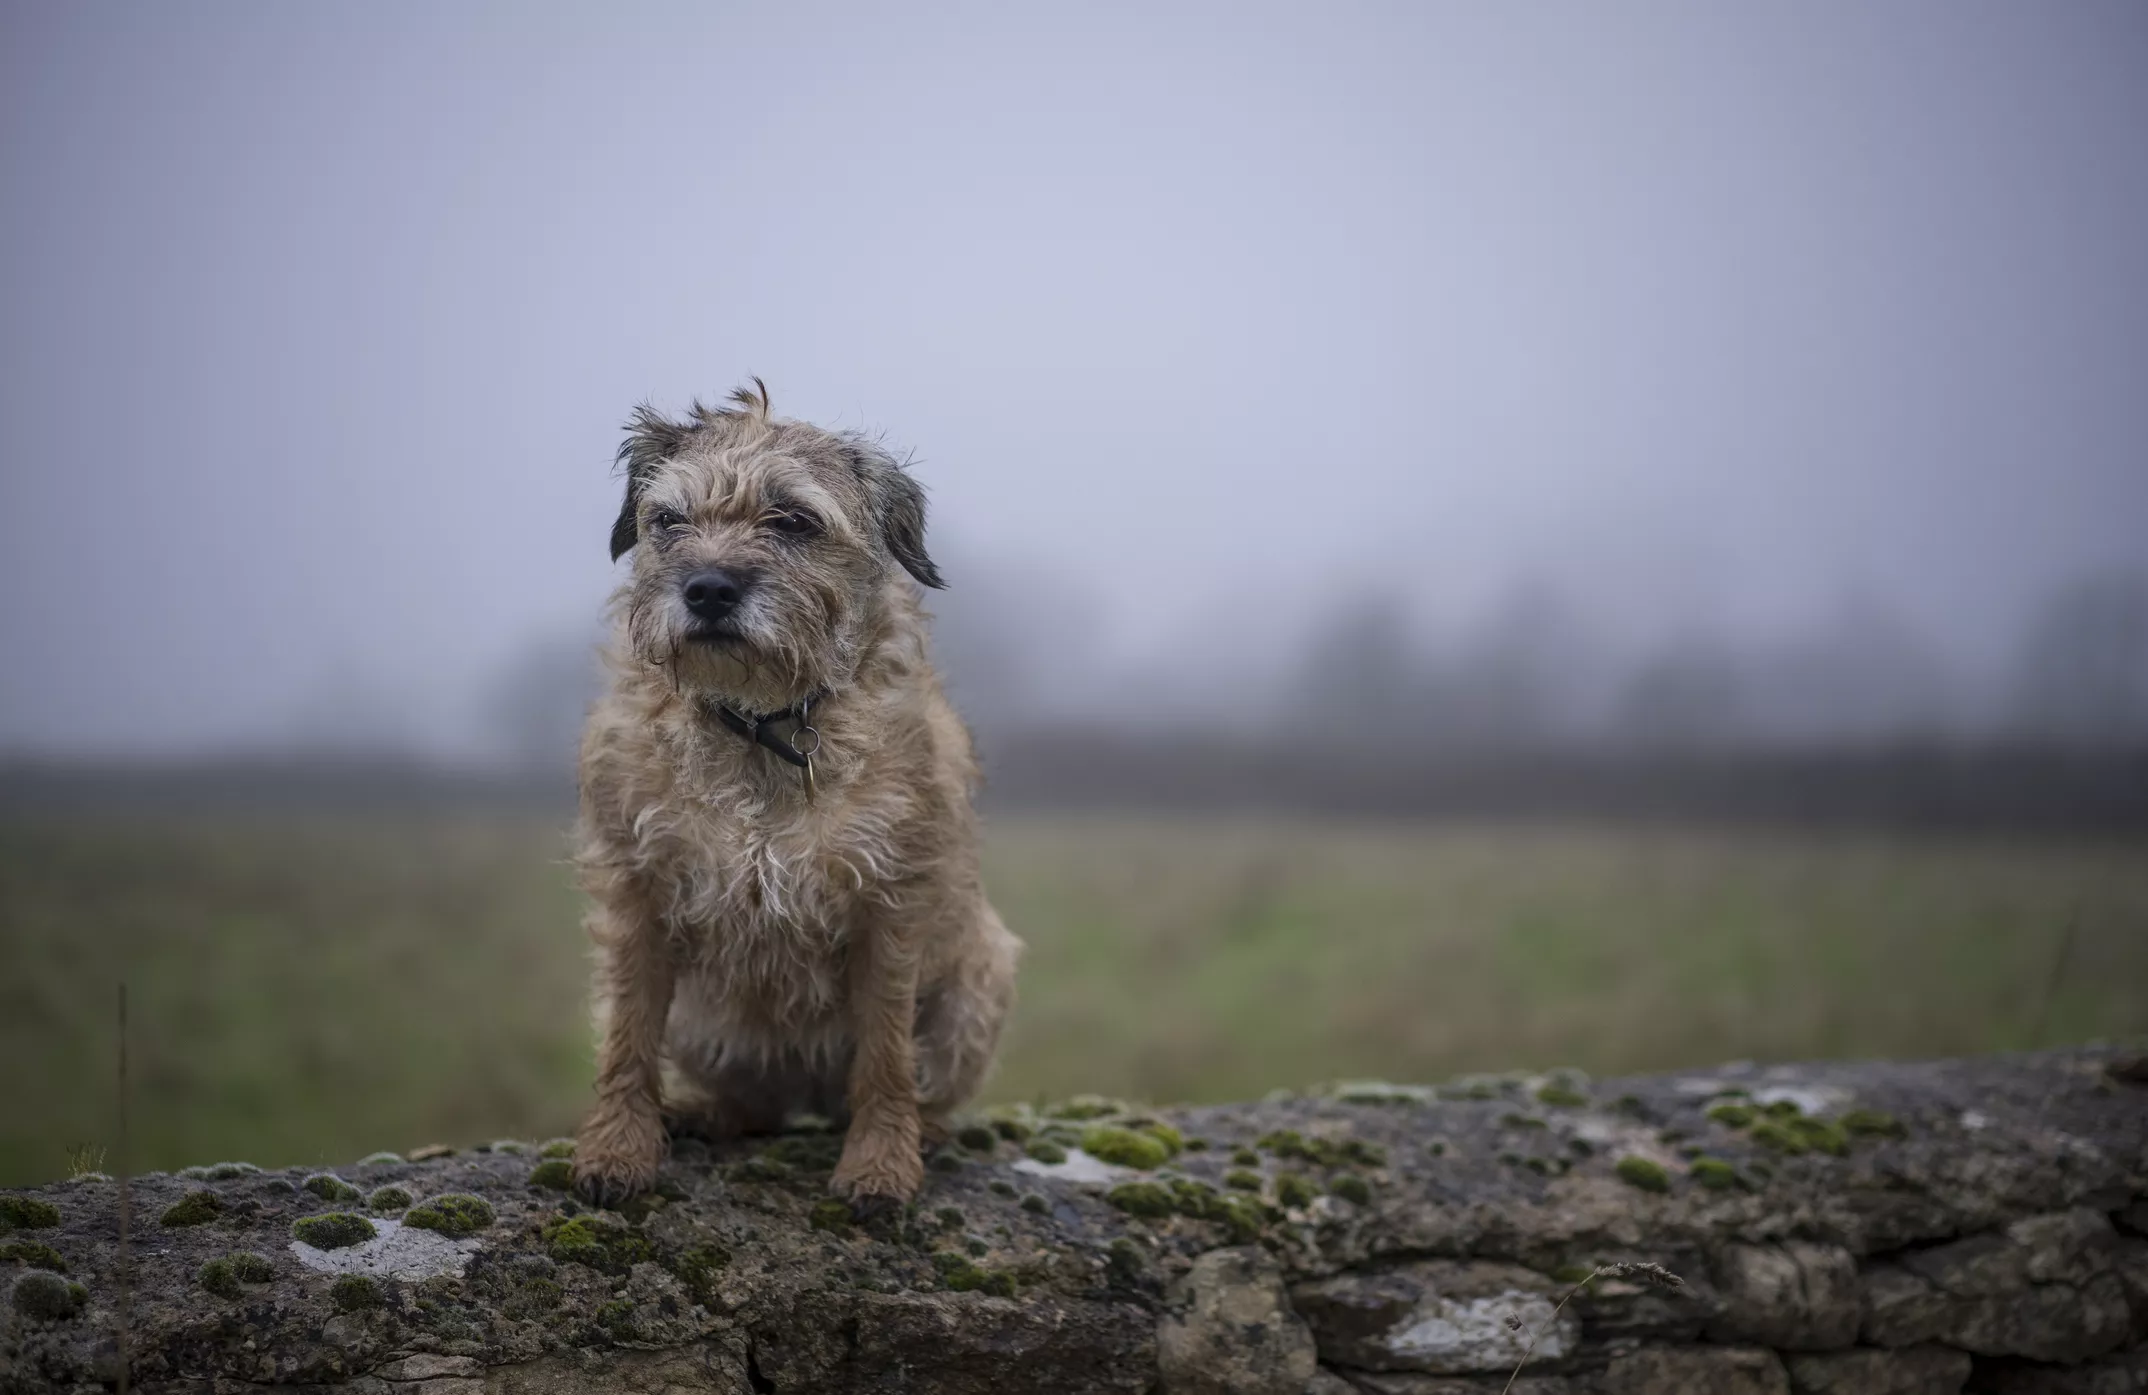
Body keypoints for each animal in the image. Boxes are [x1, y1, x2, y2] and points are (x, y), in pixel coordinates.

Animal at [571, 378, 1022, 1203]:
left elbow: (885, 1053)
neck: (763, 725)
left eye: (793, 520)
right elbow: (625, 1035)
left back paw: (927, 1130)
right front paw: (616, 1150)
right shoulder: (634, 891)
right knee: (758, 1104)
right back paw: (706, 1112)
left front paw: (880, 1162)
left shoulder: (891, 906)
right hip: (705, 1025)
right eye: (669, 520)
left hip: (982, 975)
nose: (708, 588)